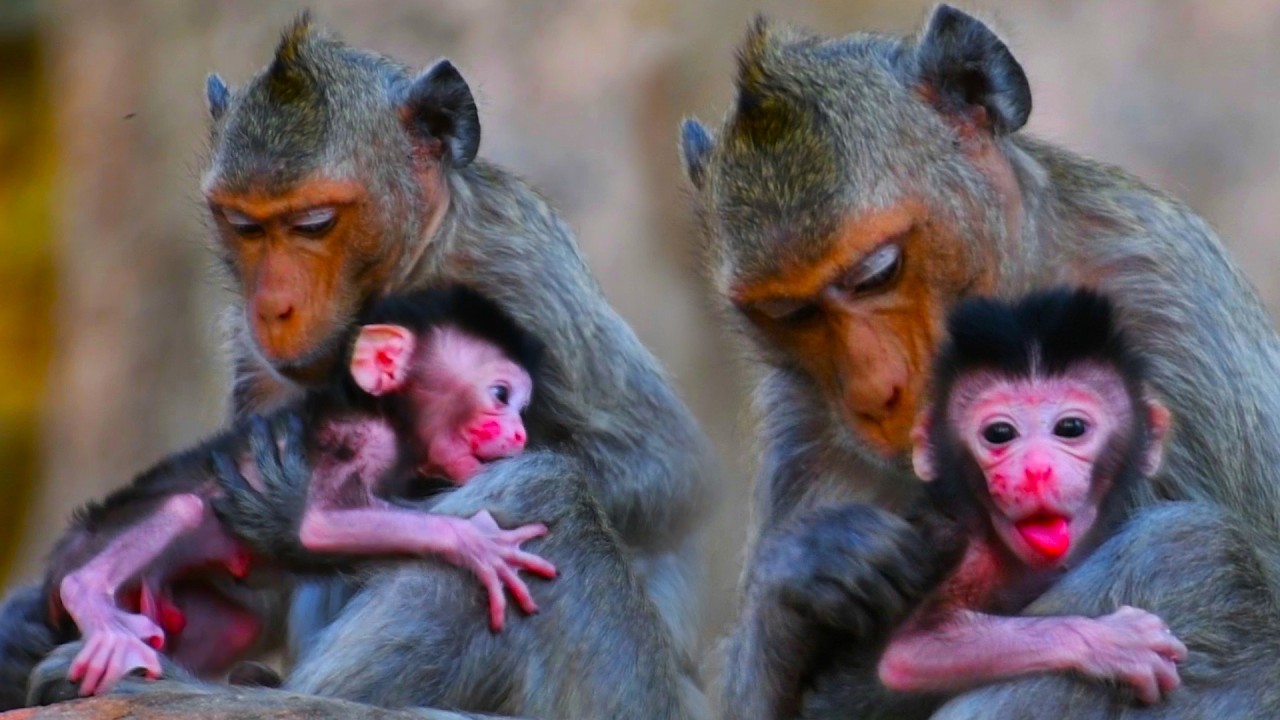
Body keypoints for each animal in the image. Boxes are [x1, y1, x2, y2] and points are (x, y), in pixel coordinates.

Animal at [18, 285, 555, 701]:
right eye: (501, 395)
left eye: (520, 407)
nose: (519, 434)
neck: (390, 420)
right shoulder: (357, 440)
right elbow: (318, 524)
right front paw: (477, 543)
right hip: (95, 544)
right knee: (182, 508)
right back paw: (89, 597)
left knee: (233, 623)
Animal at [679, 5, 1280, 718]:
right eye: (790, 315)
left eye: (877, 273)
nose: (875, 394)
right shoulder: (801, 417)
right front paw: (807, 569)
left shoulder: (1172, 318)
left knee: (1191, 551)